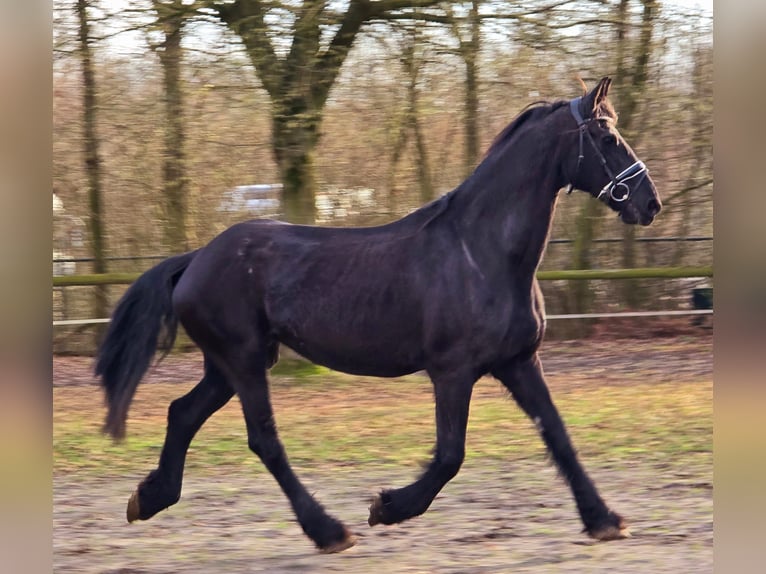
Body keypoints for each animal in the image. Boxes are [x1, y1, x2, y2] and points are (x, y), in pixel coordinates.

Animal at [96, 77, 661, 553]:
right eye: (606, 136)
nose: (650, 203)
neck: (482, 253)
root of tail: (196, 259)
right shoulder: (452, 371)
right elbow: (450, 455)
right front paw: (386, 507)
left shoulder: (519, 362)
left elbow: (558, 436)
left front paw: (605, 520)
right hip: (244, 360)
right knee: (264, 440)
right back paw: (329, 531)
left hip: (228, 365)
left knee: (182, 413)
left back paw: (149, 498)